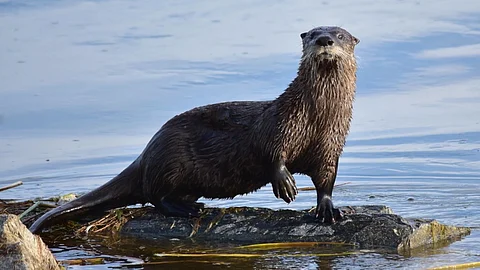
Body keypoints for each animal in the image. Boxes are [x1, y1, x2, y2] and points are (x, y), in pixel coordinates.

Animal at [29, 26, 360, 233]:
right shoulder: (281, 124)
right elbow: (270, 152)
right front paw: (285, 183)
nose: (325, 40)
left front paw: (328, 209)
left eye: (340, 35)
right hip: (171, 160)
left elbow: (326, 178)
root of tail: (146, 153)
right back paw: (187, 209)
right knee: (155, 196)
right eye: (313, 34)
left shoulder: (331, 144)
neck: (316, 119)